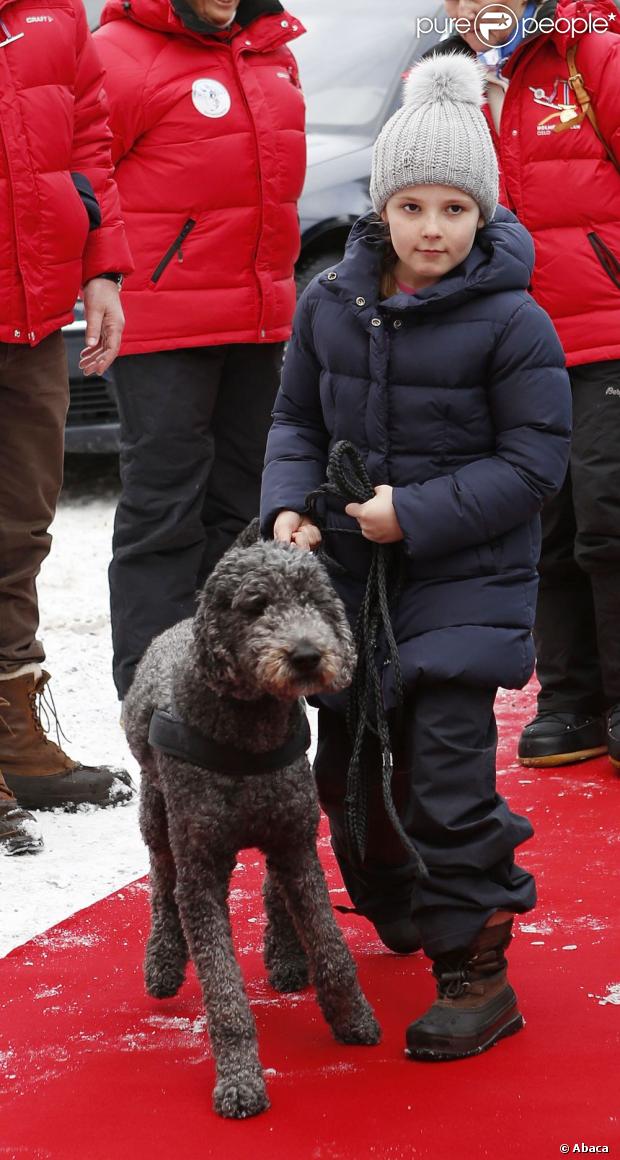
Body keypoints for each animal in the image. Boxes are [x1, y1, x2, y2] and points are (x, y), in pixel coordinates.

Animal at [124, 528, 380, 1122]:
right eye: (256, 606)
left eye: (313, 600)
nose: (307, 655)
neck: (248, 733)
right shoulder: (201, 871)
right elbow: (224, 994)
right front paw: (239, 1080)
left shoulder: (296, 844)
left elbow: (332, 949)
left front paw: (352, 1018)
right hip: (158, 814)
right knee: (162, 882)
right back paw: (164, 960)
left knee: (271, 885)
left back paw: (285, 955)